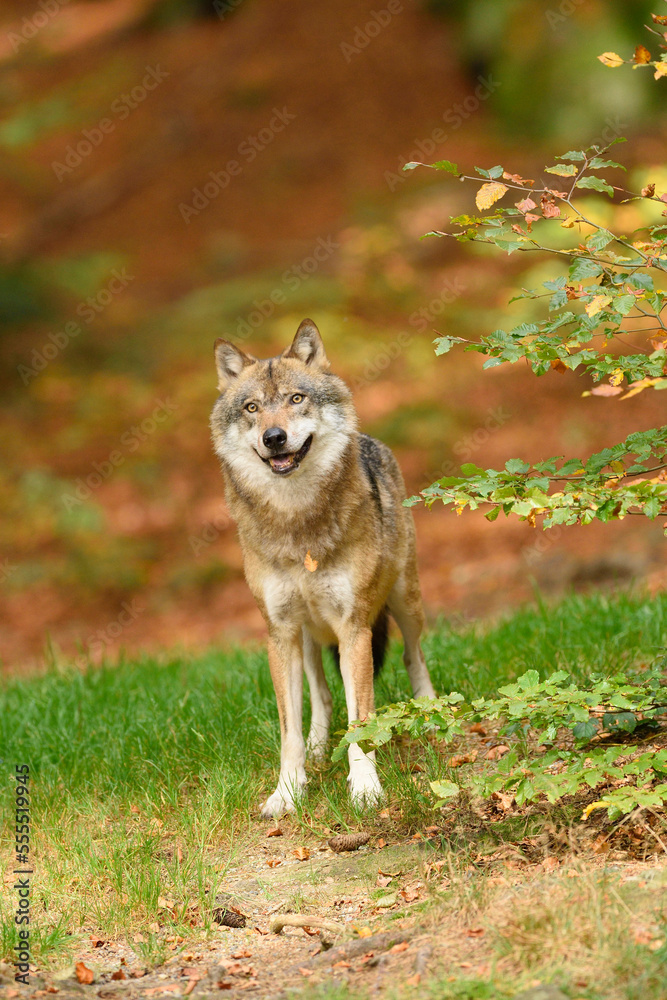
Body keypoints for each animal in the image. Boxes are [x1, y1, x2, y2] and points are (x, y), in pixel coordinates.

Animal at [210, 319, 435, 817]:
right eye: (253, 408)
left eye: (297, 399)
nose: (274, 438)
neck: (297, 522)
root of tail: (373, 442)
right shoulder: (279, 634)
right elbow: (289, 731)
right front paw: (288, 791)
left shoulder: (354, 629)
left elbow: (360, 725)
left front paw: (365, 789)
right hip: (309, 637)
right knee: (322, 695)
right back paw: (318, 749)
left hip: (404, 600)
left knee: (413, 656)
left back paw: (431, 712)